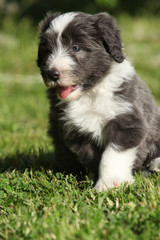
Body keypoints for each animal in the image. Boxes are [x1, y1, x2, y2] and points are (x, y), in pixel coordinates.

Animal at [37, 11, 160, 192]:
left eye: (76, 48)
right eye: (48, 50)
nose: (52, 73)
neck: (89, 94)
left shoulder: (127, 121)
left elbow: (112, 155)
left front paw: (111, 183)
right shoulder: (76, 131)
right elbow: (94, 158)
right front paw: (97, 180)